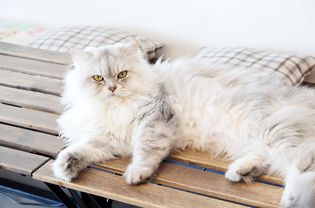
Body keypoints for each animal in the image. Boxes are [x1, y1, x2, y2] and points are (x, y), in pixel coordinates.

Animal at [53, 40, 315, 208]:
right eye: (97, 78)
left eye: (122, 75)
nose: (112, 88)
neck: (116, 108)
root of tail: (297, 95)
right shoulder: (109, 139)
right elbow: (81, 150)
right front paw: (64, 167)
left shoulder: (154, 121)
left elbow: (146, 153)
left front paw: (137, 174)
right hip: (253, 138)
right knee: (264, 159)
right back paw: (240, 172)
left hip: (269, 131)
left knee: (302, 168)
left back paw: (290, 200)